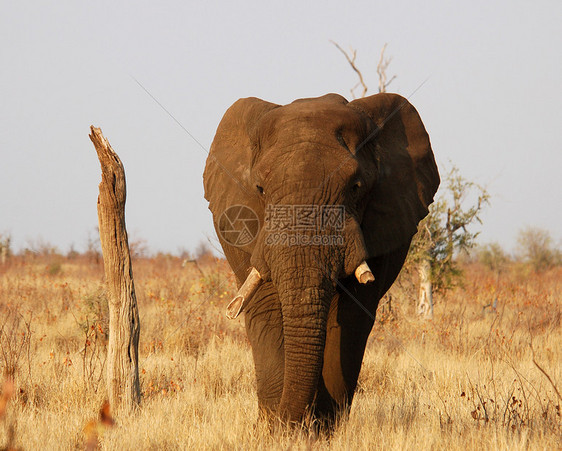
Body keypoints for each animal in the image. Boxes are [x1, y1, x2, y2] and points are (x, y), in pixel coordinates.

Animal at [201, 92, 438, 428]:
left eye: (355, 187)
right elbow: (267, 309)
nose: (289, 423)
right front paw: (277, 430)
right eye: (260, 189)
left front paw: (322, 429)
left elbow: (350, 315)